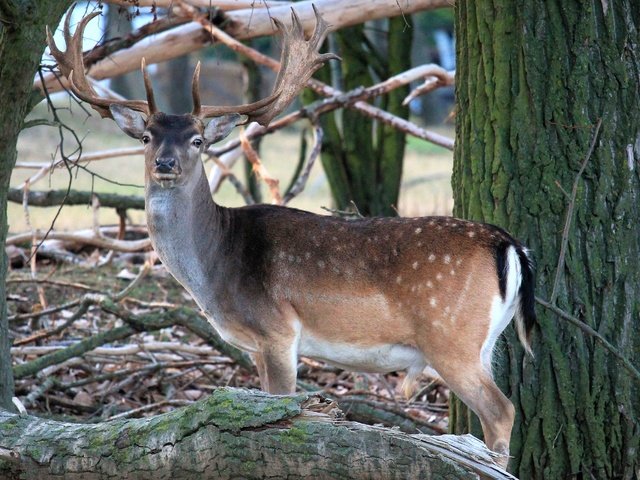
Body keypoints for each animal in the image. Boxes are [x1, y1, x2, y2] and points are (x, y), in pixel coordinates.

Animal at [47, 4, 532, 468]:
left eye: (198, 140)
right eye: (147, 137)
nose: (166, 163)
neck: (217, 265)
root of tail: (507, 243)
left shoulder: (277, 329)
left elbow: (281, 407)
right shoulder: (257, 345)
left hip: (449, 334)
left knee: (502, 409)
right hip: (484, 341)